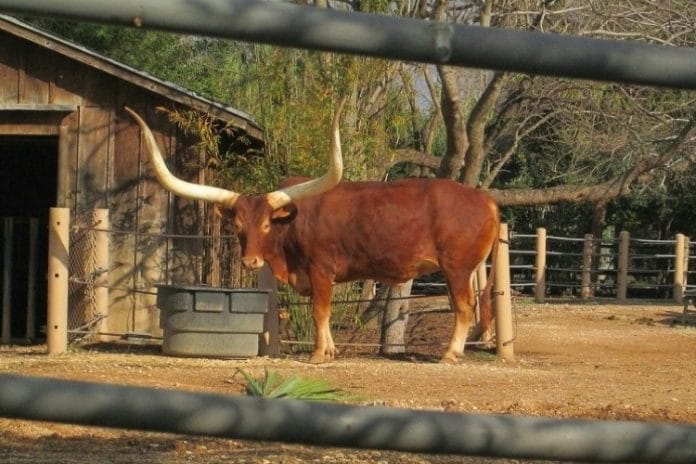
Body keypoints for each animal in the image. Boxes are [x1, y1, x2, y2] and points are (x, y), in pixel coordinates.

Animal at [123, 104, 494, 362]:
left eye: (266, 224)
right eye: (238, 226)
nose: (251, 261)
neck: (291, 226)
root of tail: (482, 197)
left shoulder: (320, 269)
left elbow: (320, 311)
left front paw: (317, 354)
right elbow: (322, 312)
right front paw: (328, 351)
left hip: (456, 268)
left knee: (464, 307)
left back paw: (450, 354)